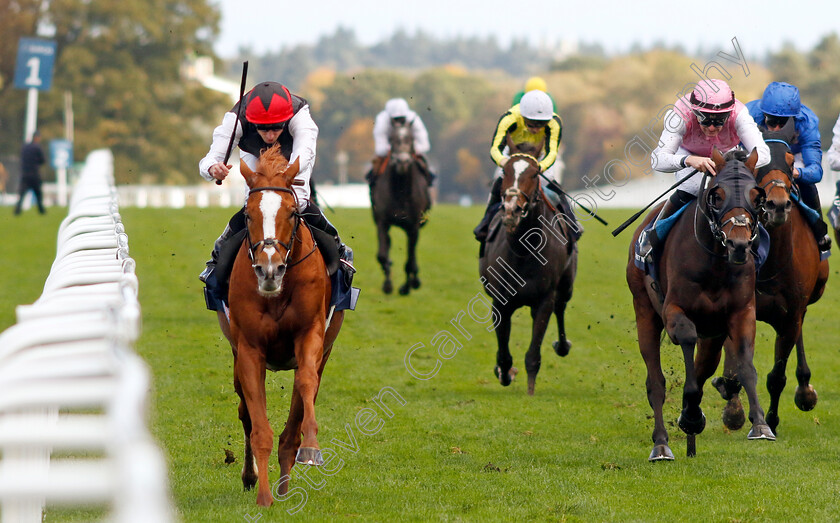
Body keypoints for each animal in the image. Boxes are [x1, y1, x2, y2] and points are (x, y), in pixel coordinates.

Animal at [220, 144, 348, 508]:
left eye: (292, 213)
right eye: (248, 214)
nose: (269, 269)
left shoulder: (311, 337)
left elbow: (304, 386)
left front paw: (312, 449)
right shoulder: (249, 349)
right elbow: (257, 424)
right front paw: (263, 496)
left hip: (324, 353)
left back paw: (286, 484)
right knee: (245, 412)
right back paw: (255, 478)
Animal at [370, 120, 430, 296]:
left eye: (411, 138)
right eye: (391, 138)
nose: (402, 162)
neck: (401, 190)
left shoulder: (414, 226)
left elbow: (410, 258)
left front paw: (406, 287)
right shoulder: (382, 222)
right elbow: (382, 255)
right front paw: (388, 285)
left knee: (413, 253)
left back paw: (414, 280)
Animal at [480, 149, 576, 396]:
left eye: (534, 174)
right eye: (505, 171)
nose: (512, 209)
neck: (523, 251)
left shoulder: (544, 299)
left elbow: (533, 355)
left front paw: (530, 392)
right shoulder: (500, 302)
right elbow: (503, 354)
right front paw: (504, 373)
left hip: (566, 285)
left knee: (561, 308)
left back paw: (562, 345)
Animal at [628, 148, 772, 462]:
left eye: (757, 196)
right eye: (717, 196)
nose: (739, 245)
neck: (715, 263)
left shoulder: (741, 312)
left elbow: (745, 366)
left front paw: (760, 424)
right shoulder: (674, 311)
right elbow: (686, 344)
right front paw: (691, 417)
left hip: (714, 332)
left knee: (705, 364)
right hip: (644, 310)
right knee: (655, 382)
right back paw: (661, 444)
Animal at [712, 123, 832, 434]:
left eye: (791, 162)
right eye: (759, 164)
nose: (778, 205)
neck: (772, 261)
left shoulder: (791, 314)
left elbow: (777, 376)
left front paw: (772, 421)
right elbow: (735, 365)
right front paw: (733, 405)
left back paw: (805, 388)